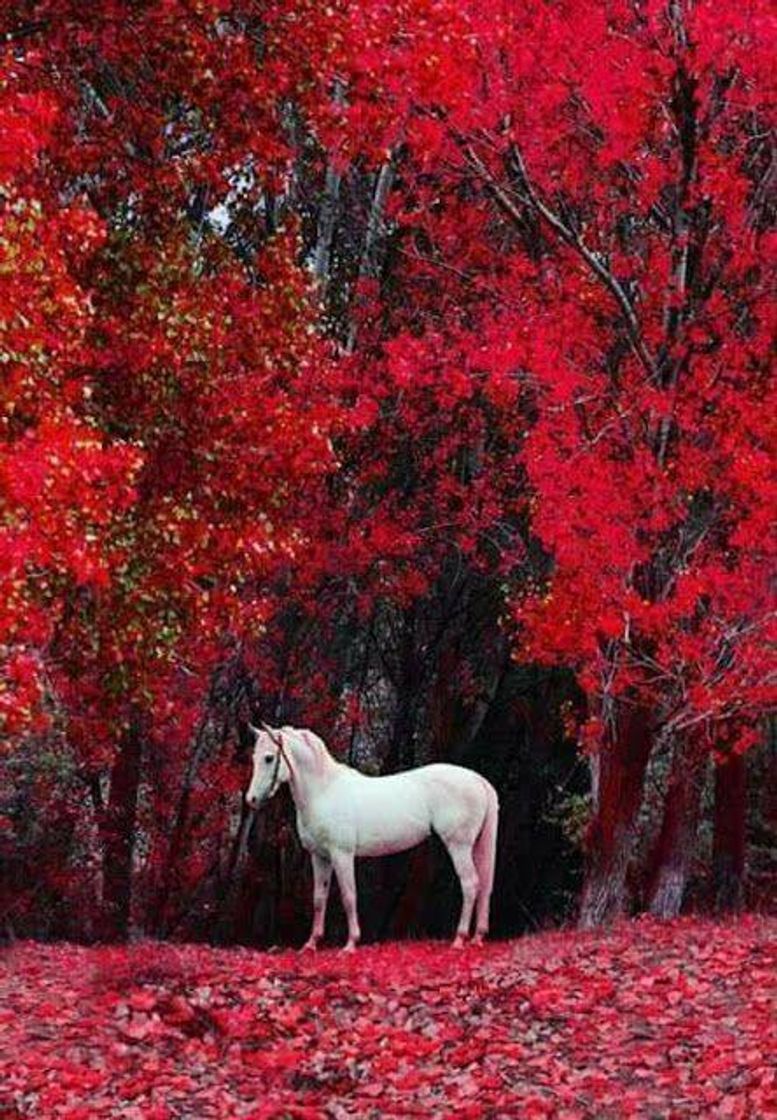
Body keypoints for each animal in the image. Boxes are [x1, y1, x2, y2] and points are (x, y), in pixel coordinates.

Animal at [246, 721, 499, 949]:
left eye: (269, 758)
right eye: (254, 757)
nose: (251, 799)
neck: (324, 792)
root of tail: (478, 780)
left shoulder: (342, 855)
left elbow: (349, 896)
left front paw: (351, 943)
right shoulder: (320, 857)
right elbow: (319, 898)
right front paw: (311, 943)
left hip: (459, 845)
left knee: (470, 883)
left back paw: (459, 939)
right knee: (483, 884)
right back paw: (477, 937)